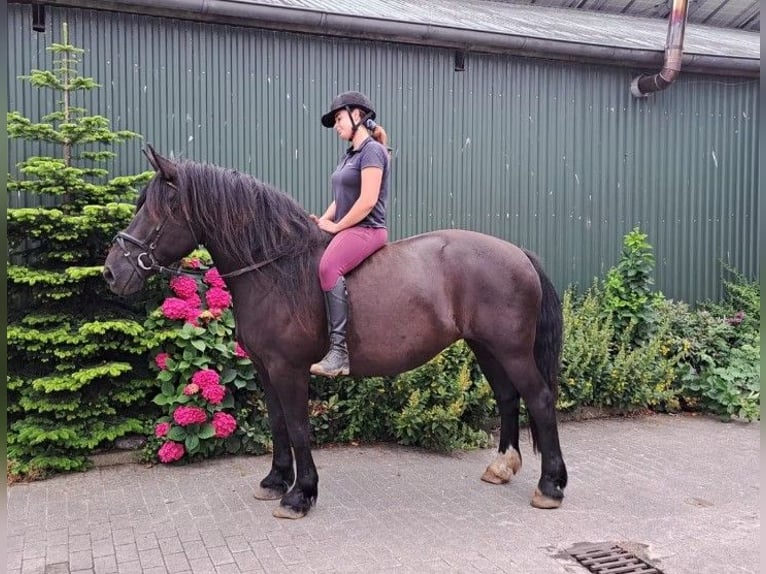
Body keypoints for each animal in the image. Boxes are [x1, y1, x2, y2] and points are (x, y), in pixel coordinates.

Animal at [103, 145, 568, 519]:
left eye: (157, 211)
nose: (111, 272)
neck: (274, 269)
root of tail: (518, 253)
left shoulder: (288, 368)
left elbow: (296, 427)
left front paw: (299, 495)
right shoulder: (265, 368)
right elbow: (277, 423)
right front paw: (275, 481)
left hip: (510, 350)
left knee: (540, 400)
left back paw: (551, 487)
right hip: (486, 346)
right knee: (508, 398)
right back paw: (502, 467)